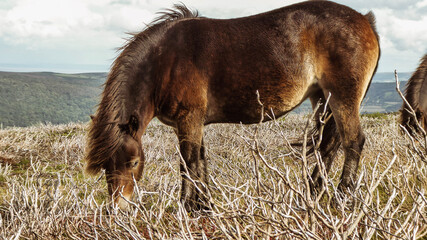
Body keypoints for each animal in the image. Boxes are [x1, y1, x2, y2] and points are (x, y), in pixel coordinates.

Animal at [86, 0, 382, 209]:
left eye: (134, 163)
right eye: (106, 166)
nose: (118, 208)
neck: (164, 62)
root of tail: (365, 20)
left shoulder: (188, 119)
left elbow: (187, 161)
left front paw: (186, 207)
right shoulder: (194, 122)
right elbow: (200, 159)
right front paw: (203, 205)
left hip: (342, 98)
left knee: (353, 142)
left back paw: (341, 199)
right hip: (323, 99)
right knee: (328, 145)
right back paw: (311, 194)